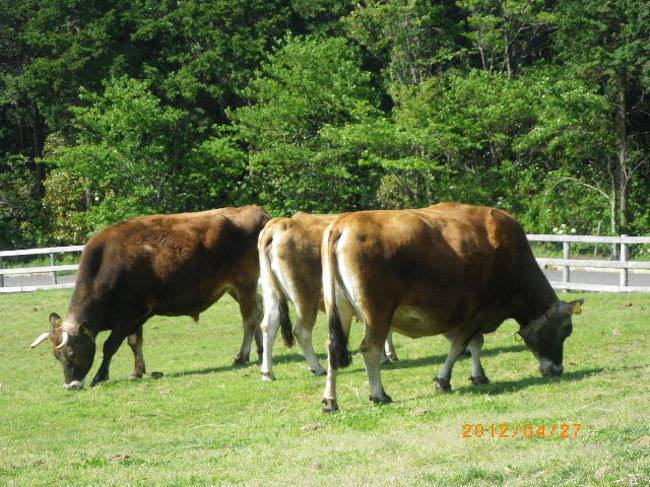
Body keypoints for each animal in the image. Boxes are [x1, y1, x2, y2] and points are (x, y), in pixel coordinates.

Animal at [29, 208, 268, 390]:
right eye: (56, 356)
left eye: (72, 353)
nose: (71, 385)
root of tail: (254, 210)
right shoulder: (136, 315)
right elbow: (135, 342)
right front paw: (137, 371)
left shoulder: (129, 315)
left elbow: (110, 345)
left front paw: (100, 375)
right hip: (234, 288)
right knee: (258, 309)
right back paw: (260, 350)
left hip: (244, 283)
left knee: (249, 319)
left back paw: (242, 355)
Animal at [256, 213, 398, 382]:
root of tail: (279, 223)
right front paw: (385, 356)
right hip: (305, 298)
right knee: (301, 331)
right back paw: (317, 367)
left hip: (271, 291)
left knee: (268, 325)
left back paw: (267, 373)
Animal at [322, 202, 580, 412]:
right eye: (565, 331)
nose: (558, 369)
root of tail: (344, 222)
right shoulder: (481, 310)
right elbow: (461, 345)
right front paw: (443, 380)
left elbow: (474, 344)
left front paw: (478, 375)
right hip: (378, 313)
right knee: (370, 349)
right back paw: (379, 395)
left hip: (340, 308)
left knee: (332, 348)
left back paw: (330, 401)